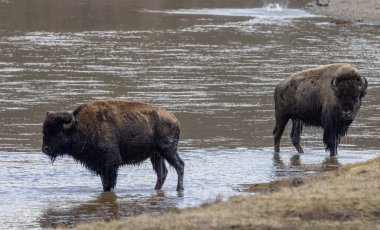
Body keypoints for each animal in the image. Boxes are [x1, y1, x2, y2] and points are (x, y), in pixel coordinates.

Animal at [41, 99, 184, 191]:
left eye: (58, 133)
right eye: (45, 131)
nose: (45, 149)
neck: (79, 127)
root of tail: (174, 119)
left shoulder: (110, 163)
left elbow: (108, 183)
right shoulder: (101, 166)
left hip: (168, 150)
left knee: (179, 165)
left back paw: (179, 189)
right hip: (156, 155)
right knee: (162, 172)